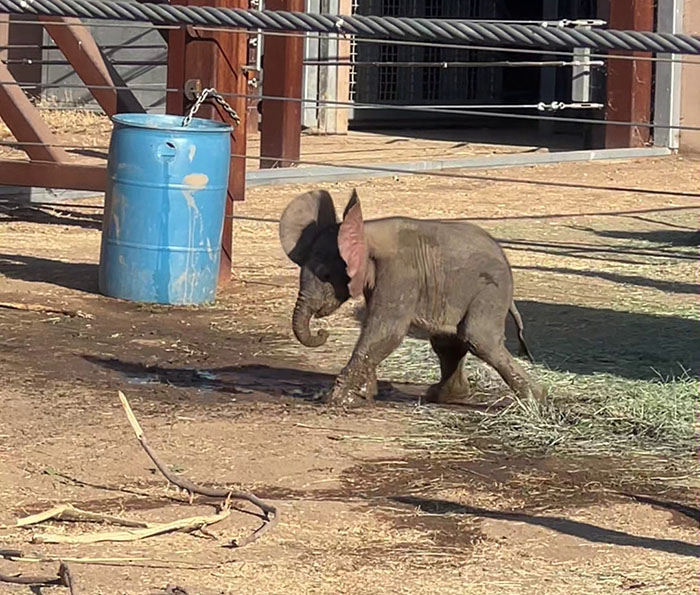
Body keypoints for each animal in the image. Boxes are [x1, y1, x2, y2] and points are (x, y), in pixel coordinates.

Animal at [279, 188, 543, 408]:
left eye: (325, 274)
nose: (322, 331)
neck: (366, 232)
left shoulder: (401, 273)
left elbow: (386, 331)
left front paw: (334, 400)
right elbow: (377, 331)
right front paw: (362, 396)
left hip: (489, 290)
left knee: (478, 339)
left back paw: (536, 401)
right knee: (448, 343)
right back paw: (445, 396)